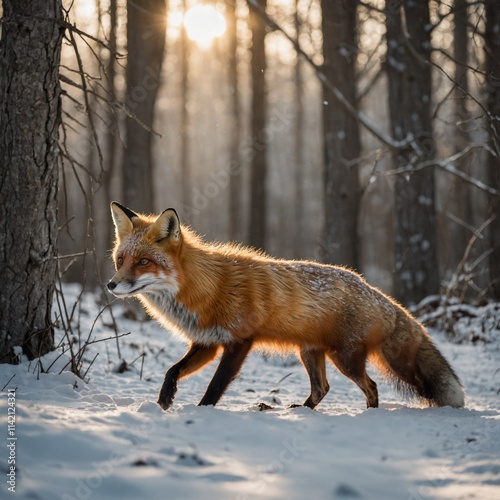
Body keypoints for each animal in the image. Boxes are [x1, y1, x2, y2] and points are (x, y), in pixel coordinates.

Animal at [108, 202, 464, 410]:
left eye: (143, 262)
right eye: (121, 260)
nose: (111, 285)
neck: (205, 287)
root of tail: (377, 293)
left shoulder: (239, 342)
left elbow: (215, 386)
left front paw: (202, 412)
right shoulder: (207, 343)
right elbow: (172, 370)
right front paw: (163, 401)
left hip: (345, 358)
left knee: (372, 387)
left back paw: (368, 415)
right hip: (311, 353)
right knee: (322, 389)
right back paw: (303, 411)